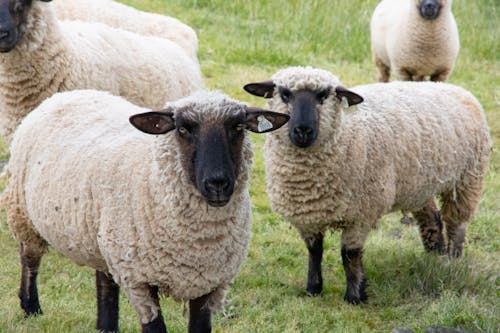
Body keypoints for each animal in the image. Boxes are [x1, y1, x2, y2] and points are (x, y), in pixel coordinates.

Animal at [2, 89, 290, 332]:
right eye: (182, 129)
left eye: (238, 127)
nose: (217, 183)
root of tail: (66, 94)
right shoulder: (139, 281)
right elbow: (155, 329)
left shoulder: (209, 282)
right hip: (23, 212)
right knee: (30, 259)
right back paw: (31, 307)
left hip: (105, 239)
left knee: (104, 280)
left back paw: (106, 327)